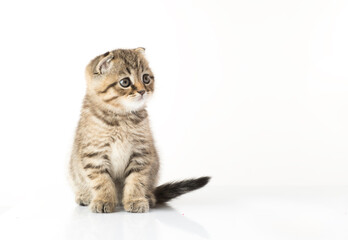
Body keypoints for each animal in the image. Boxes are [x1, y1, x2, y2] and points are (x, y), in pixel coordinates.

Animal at [68, 47, 209, 213]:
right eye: (125, 82)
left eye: (146, 78)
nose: (142, 91)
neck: (121, 118)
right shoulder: (94, 154)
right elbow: (101, 181)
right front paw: (103, 200)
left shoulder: (141, 153)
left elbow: (136, 179)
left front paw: (135, 200)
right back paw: (84, 196)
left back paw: (148, 196)